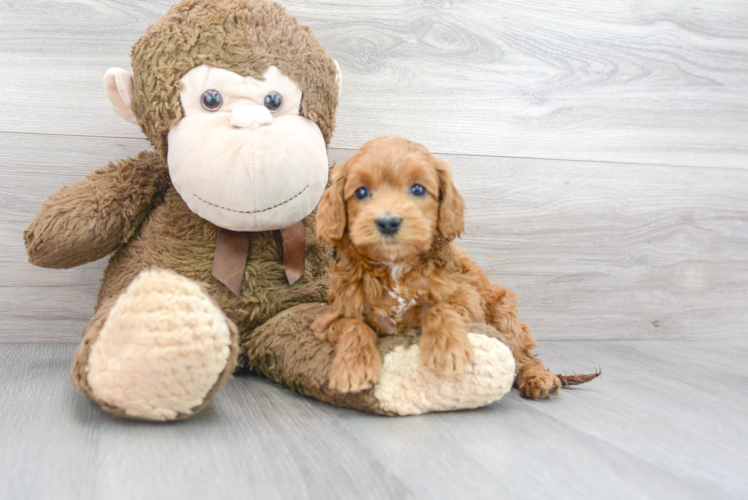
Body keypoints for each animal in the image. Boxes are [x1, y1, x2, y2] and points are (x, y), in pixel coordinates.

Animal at [312, 136, 600, 398]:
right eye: (361, 192)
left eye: (418, 189)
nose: (388, 222)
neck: (396, 267)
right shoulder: (331, 317)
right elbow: (353, 325)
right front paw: (352, 369)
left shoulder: (468, 304)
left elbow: (440, 308)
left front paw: (448, 350)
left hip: (504, 311)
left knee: (522, 354)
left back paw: (538, 378)